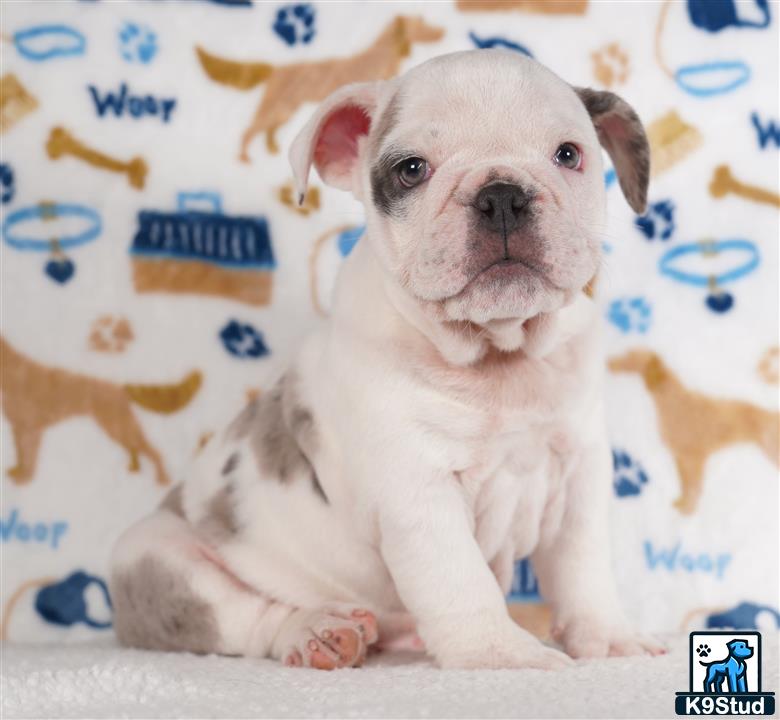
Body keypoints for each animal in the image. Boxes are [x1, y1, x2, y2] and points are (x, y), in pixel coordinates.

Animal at [109, 49, 660, 668]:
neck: (498, 355)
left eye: (568, 154)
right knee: (246, 617)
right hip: (155, 556)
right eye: (411, 170)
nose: (501, 195)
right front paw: (501, 656)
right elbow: (460, 579)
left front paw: (609, 639)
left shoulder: (579, 470)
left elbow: (583, 566)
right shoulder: (418, 490)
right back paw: (316, 631)